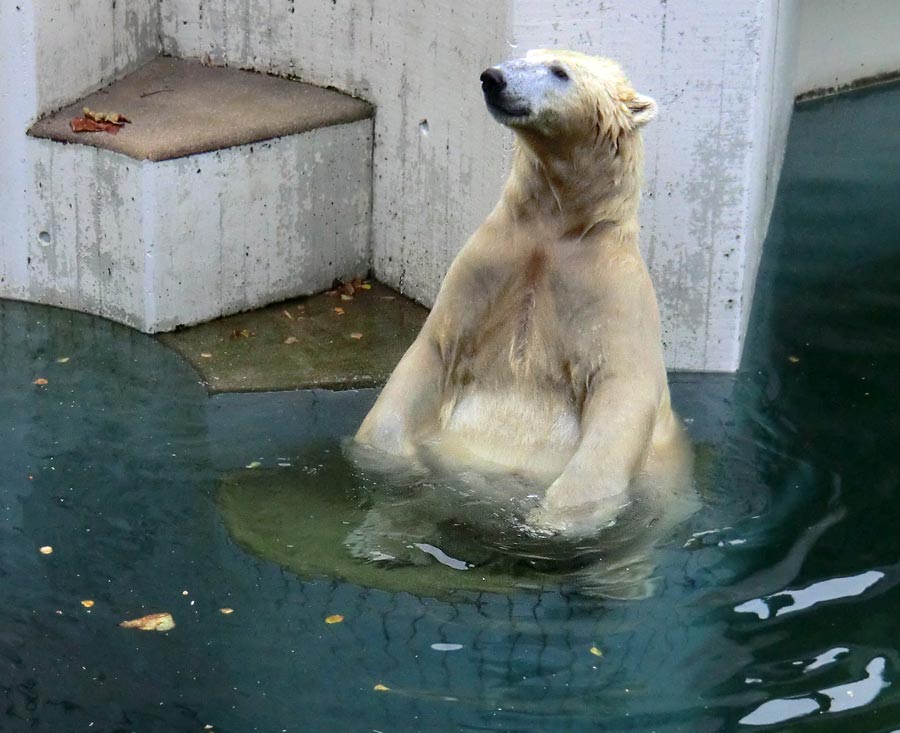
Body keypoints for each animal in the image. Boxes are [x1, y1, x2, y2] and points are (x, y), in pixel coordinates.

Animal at [352, 50, 688, 532]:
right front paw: (387, 459)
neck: (557, 227)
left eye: (560, 71)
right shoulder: (489, 265)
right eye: (522, 55)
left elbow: (621, 397)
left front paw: (554, 519)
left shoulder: (610, 294)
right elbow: (430, 353)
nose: (493, 78)